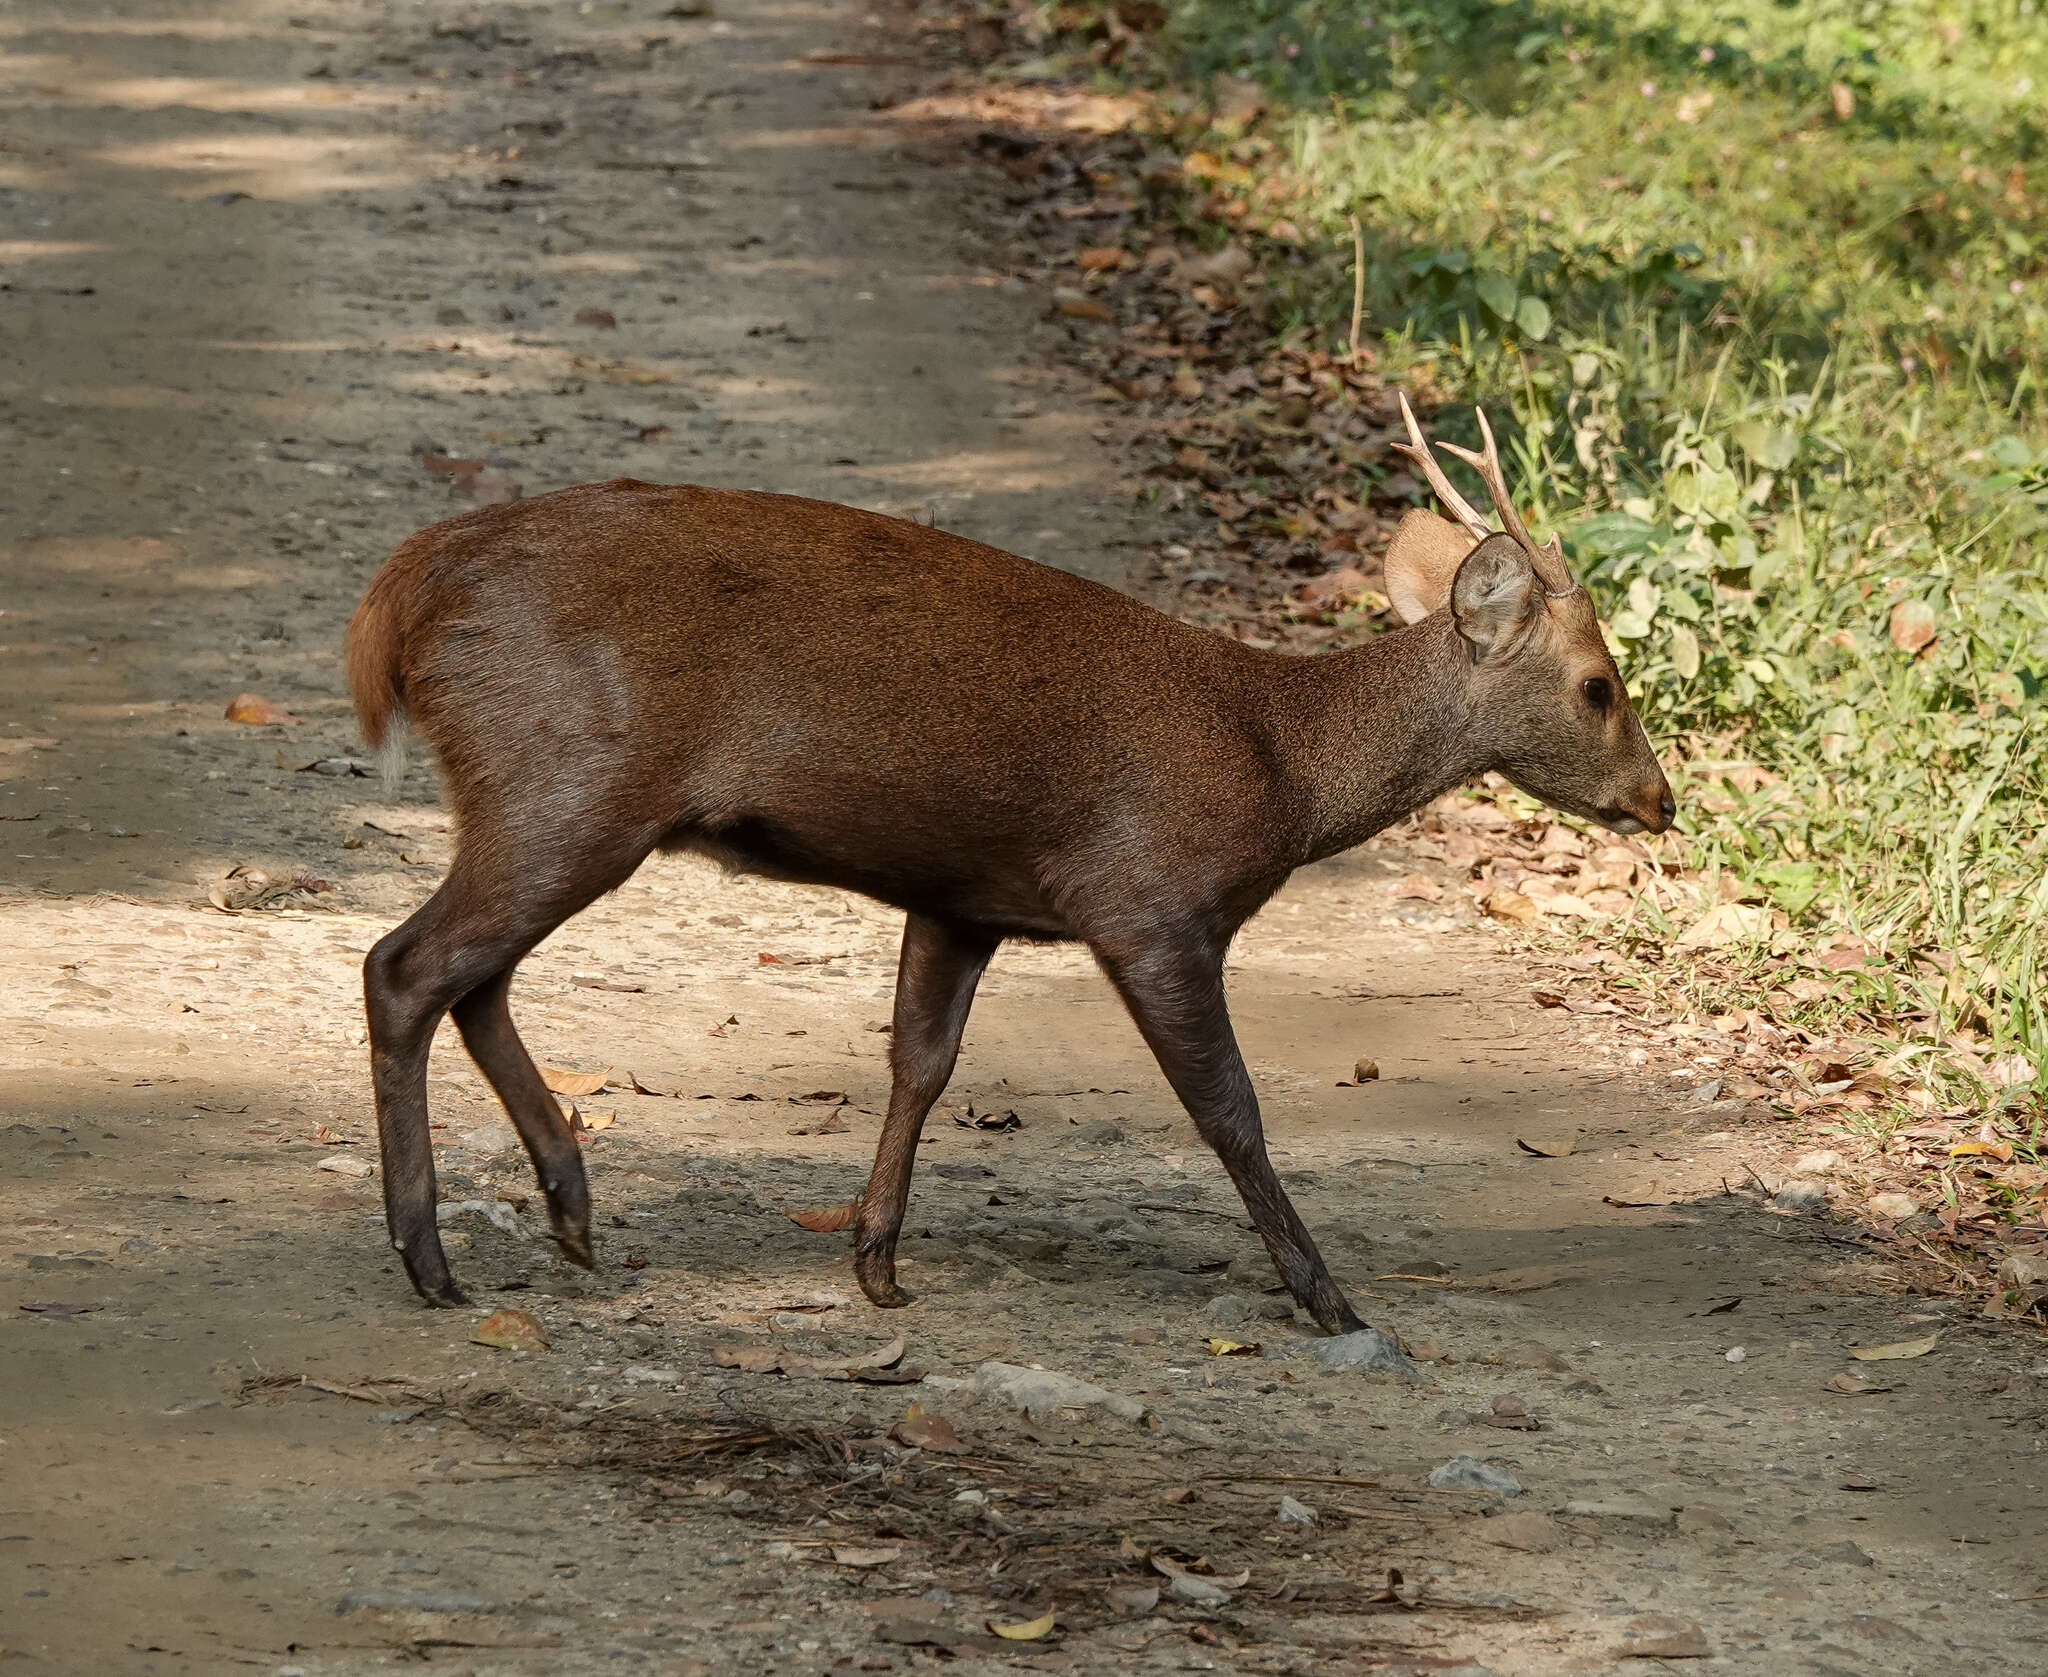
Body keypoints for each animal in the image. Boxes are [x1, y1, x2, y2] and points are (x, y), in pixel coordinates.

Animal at [344, 397, 1671, 1376]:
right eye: (1598, 684)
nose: (1660, 802)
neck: (1282, 772)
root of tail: (401, 596)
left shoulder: (963, 900)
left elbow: (918, 1064)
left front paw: (876, 1264)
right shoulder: (1148, 903)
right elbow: (1228, 1109)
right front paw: (1326, 1295)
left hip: (548, 802)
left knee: (472, 979)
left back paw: (569, 1210)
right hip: (567, 779)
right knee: (405, 966)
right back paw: (428, 1258)